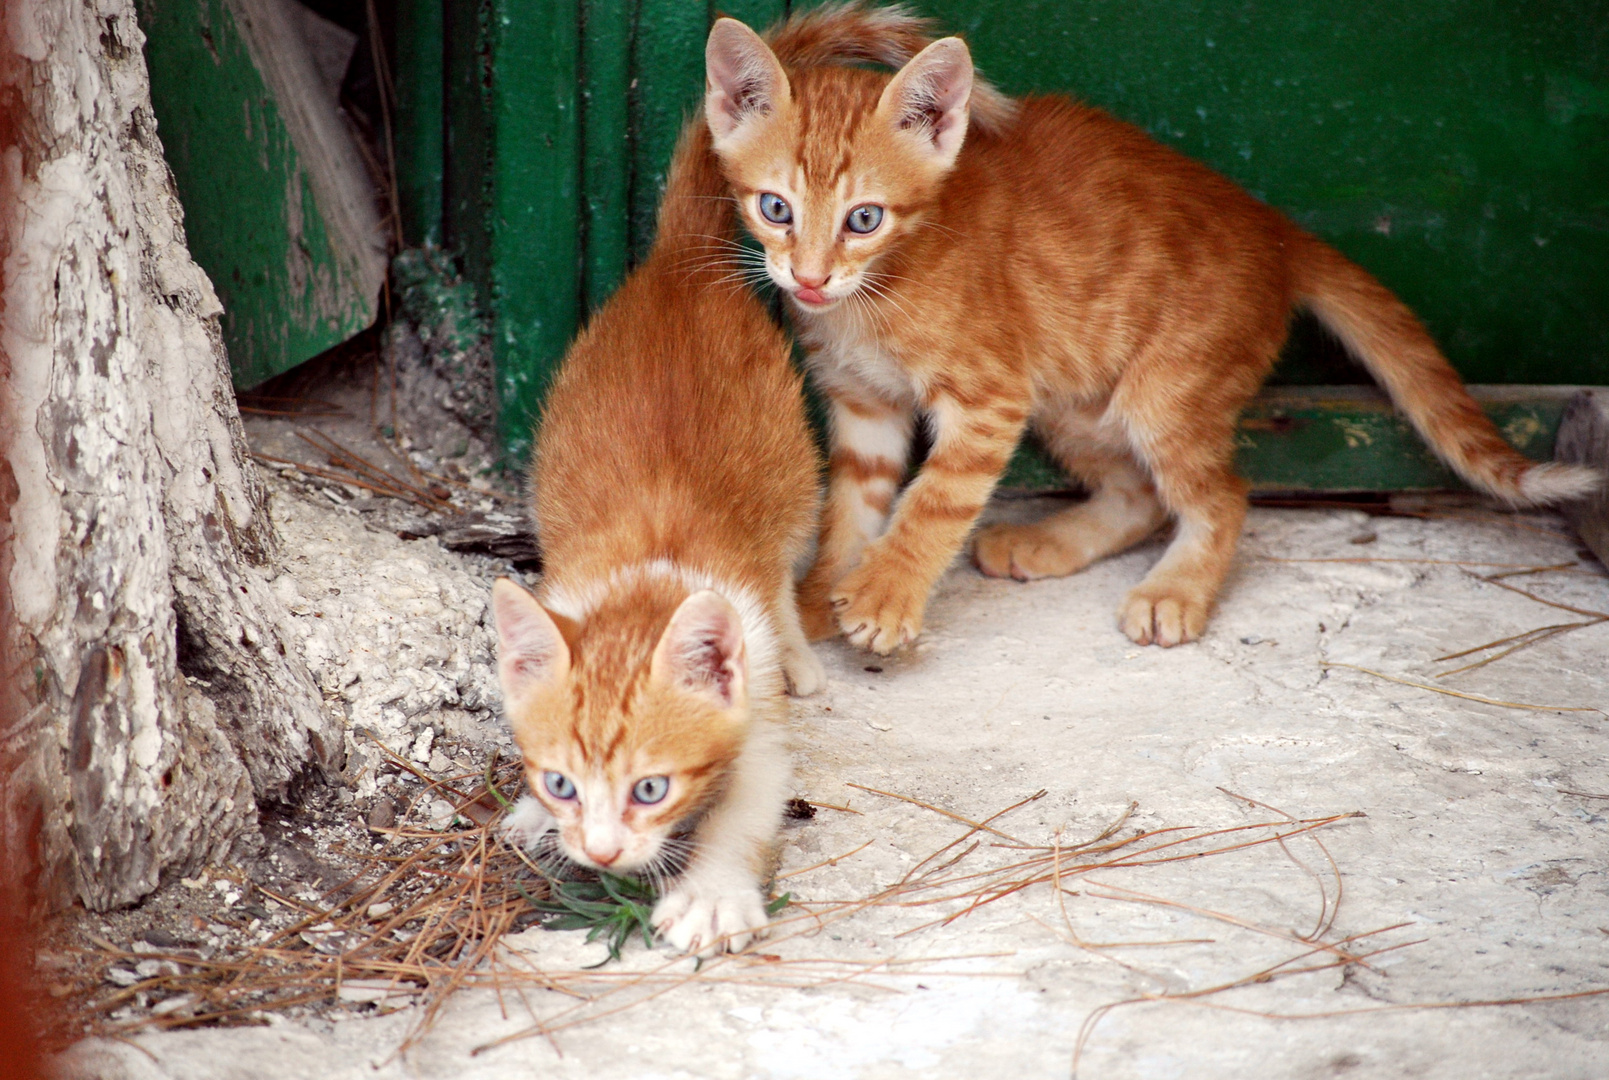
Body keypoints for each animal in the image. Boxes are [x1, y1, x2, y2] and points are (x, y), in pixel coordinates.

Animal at [489, 115, 823, 952]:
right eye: (562, 782)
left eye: (650, 789)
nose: (602, 851)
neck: (650, 575)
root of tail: (679, 263)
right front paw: (533, 813)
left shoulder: (756, 702)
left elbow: (750, 803)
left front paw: (710, 894)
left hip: (795, 471)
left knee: (786, 561)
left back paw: (805, 655)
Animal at [701, 6, 1596, 650]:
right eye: (775, 208)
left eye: (864, 218)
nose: (808, 279)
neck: (873, 296)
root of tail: (1274, 228)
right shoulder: (863, 405)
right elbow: (852, 504)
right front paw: (821, 592)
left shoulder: (990, 396)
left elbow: (934, 499)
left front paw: (886, 594)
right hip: (1075, 390)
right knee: (1137, 491)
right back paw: (1049, 543)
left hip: (1166, 389)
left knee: (1220, 495)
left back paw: (1175, 590)